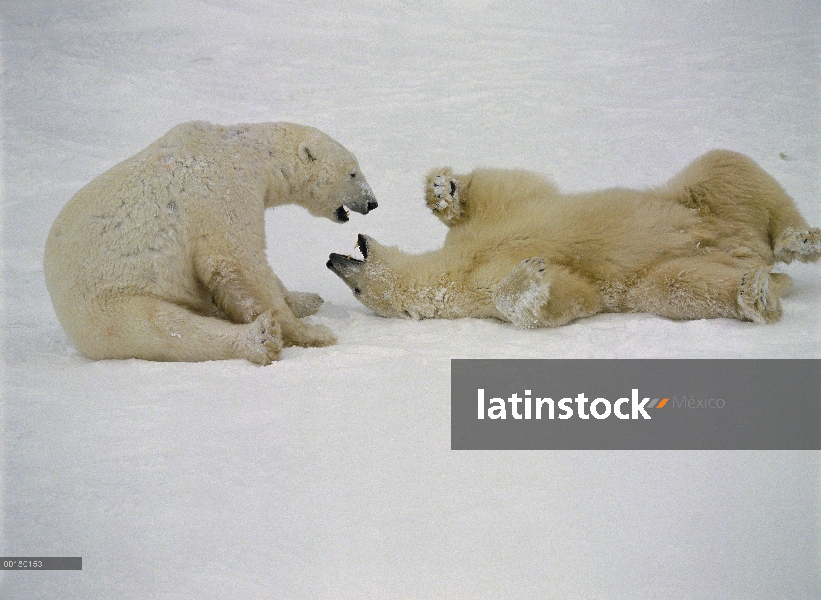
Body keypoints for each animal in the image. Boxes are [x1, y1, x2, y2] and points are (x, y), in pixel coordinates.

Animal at [44, 119, 378, 364]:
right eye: (353, 173)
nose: (372, 202)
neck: (249, 151)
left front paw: (304, 299)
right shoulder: (224, 191)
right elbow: (238, 262)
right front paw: (311, 332)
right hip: (110, 305)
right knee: (168, 330)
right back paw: (259, 339)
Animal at [326, 150, 820, 328]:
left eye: (357, 288)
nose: (331, 258)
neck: (452, 268)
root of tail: (747, 249)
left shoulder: (487, 228)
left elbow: (507, 188)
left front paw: (442, 189)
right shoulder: (472, 291)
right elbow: (568, 298)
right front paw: (531, 275)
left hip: (695, 202)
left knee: (726, 167)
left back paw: (801, 239)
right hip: (659, 277)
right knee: (686, 286)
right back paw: (756, 293)